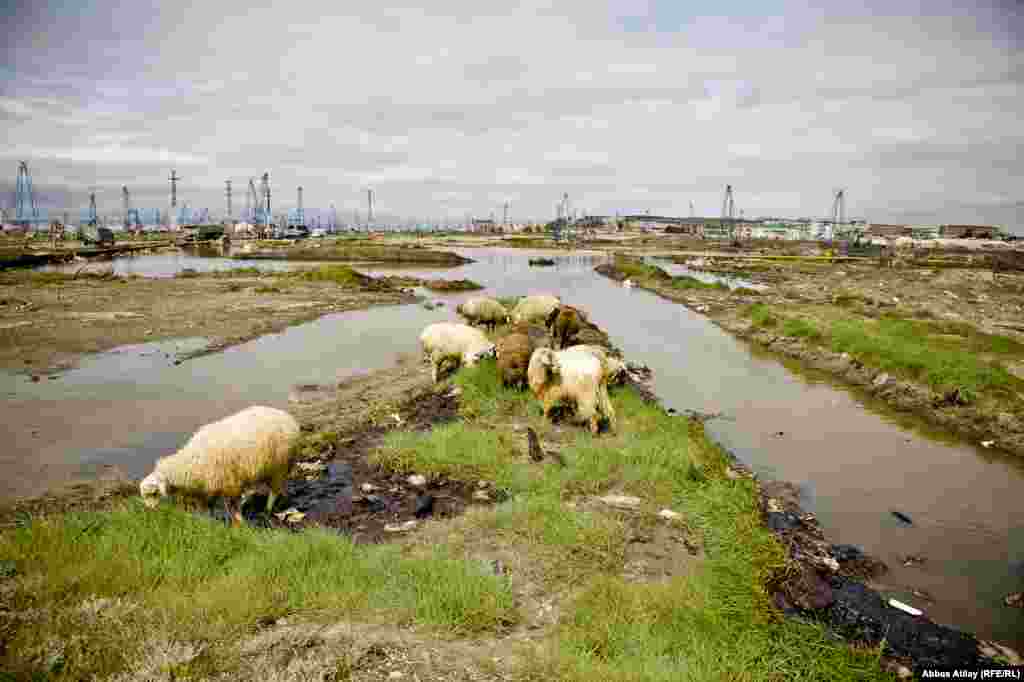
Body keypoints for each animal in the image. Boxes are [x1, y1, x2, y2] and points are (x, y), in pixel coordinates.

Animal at [139, 405, 299, 522]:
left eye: (153, 493)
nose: (149, 511)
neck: (188, 465)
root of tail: (289, 418)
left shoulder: (230, 483)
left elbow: (232, 504)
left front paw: (238, 521)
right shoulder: (209, 487)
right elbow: (209, 505)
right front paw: (208, 519)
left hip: (279, 466)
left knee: (274, 491)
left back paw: (268, 508)